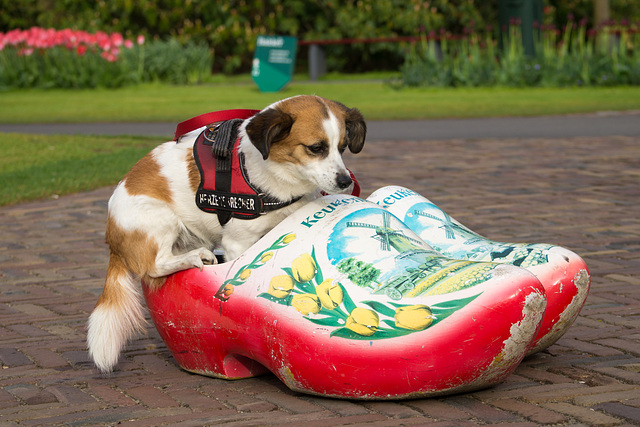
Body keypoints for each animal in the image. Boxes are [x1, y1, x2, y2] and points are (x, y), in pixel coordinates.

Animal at [86, 95, 364, 372]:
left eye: (342, 148)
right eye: (316, 148)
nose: (345, 181)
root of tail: (112, 236)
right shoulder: (237, 243)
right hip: (159, 219)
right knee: (155, 265)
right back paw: (195, 257)